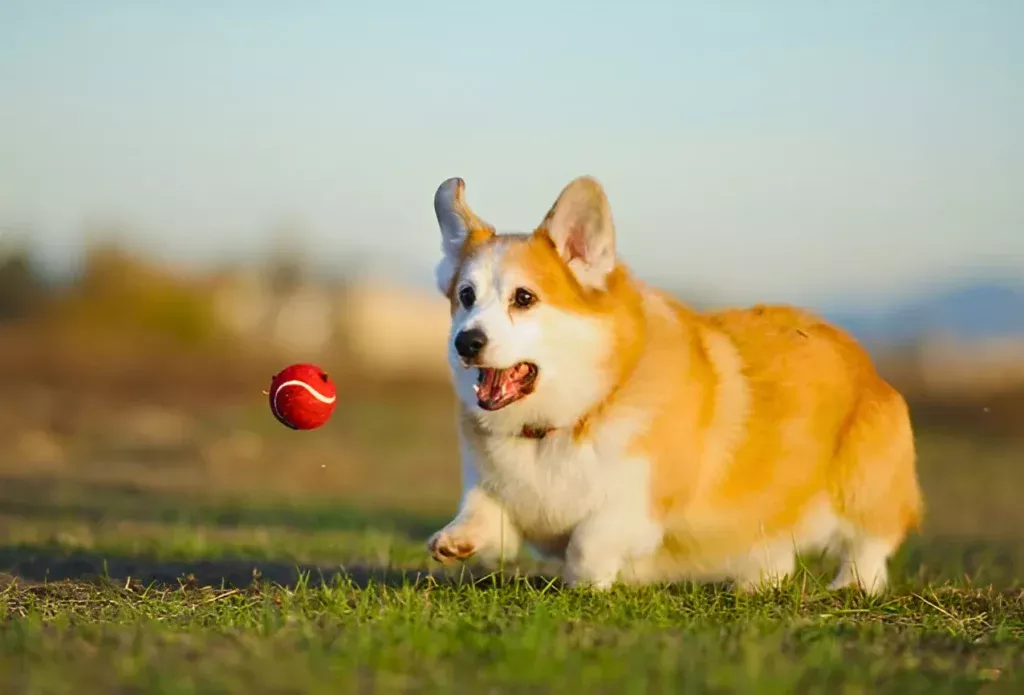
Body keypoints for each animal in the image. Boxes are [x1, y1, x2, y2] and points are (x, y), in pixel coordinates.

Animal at [423, 174, 921, 593]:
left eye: (524, 298)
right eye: (466, 296)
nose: (466, 341)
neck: (566, 420)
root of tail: (856, 352)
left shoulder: (640, 504)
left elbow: (589, 539)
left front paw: (588, 580)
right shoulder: (498, 494)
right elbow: (483, 513)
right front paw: (453, 540)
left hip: (865, 488)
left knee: (869, 544)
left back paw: (852, 585)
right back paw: (755, 584)